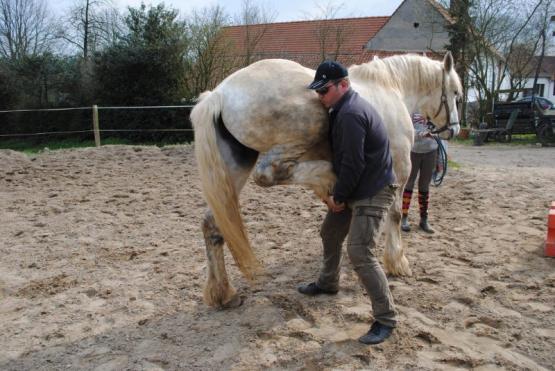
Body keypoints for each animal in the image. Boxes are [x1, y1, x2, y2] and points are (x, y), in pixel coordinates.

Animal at [193, 52, 462, 308]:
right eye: (456, 93)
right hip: (304, 133)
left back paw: (223, 294)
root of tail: (219, 94)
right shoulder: (401, 168)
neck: (390, 88)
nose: (454, 130)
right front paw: (398, 262)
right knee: (269, 172)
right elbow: (395, 216)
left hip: (234, 170)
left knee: (212, 224)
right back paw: (328, 179)